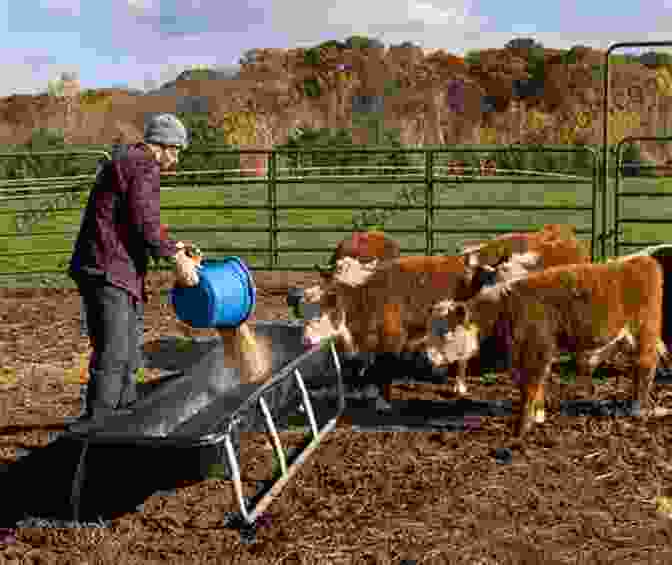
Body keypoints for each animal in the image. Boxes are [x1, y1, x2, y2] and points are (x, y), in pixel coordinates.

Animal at [426, 256, 660, 436]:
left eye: (446, 333)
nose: (430, 359)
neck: (508, 306)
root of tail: (641, 261)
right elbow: (535, 382)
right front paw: (538, 416)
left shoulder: (538, 347)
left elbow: (531, 384)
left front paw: (521, 427)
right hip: (626, 338)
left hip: (645, 331)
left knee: (645, 365)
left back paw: (638, 409)